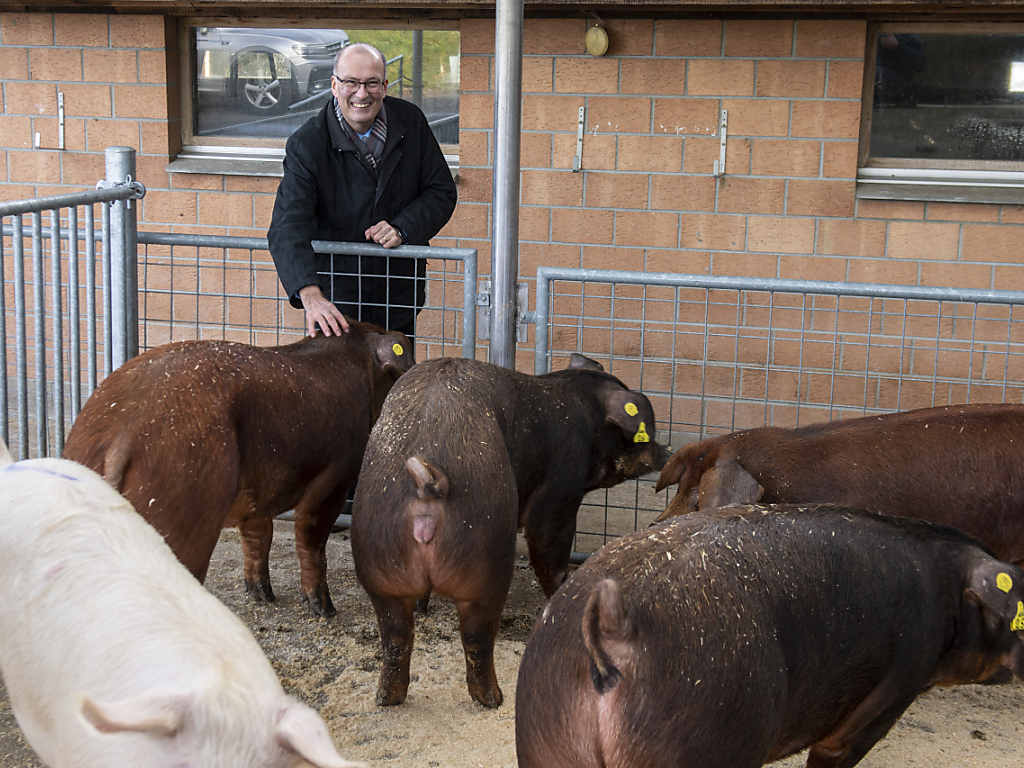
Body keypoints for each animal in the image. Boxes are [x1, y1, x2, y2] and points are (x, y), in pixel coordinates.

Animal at [61, 323, 413, 618]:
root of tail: (121, 435)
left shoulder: (258, 489)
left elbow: (257, 536)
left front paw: (262, 596)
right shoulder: (336, 474)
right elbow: (310, 539)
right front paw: (325, 611)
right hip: (178, 501)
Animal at [350, 354, 671, 708]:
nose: (667, 452)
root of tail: (428, 483)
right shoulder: (560, 493)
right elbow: (549, 551)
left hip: (379, 557)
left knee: (395, 634)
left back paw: (387, 697)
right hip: (485, 560)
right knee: (476, 636)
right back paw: (493, 698)